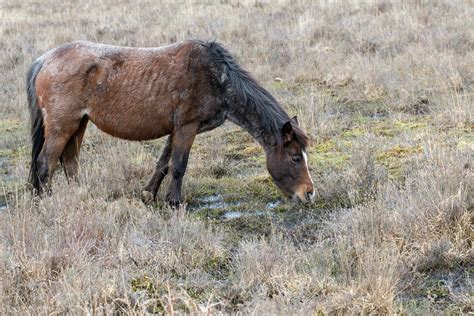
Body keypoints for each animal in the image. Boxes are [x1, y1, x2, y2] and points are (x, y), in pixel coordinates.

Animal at [25, 39, 314, 205]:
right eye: (295, 157)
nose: (309, 193)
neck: (217, 79)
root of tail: (45, 60)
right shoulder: (187, 128)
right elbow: (178, 166)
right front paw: (174, 203)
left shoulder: (175, 130)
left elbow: (163, 163)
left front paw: (148, 195)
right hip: (62, 126)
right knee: (45, 164)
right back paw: (45, 203)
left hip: (79, 124)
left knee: (69, 163)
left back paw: (80, 196)